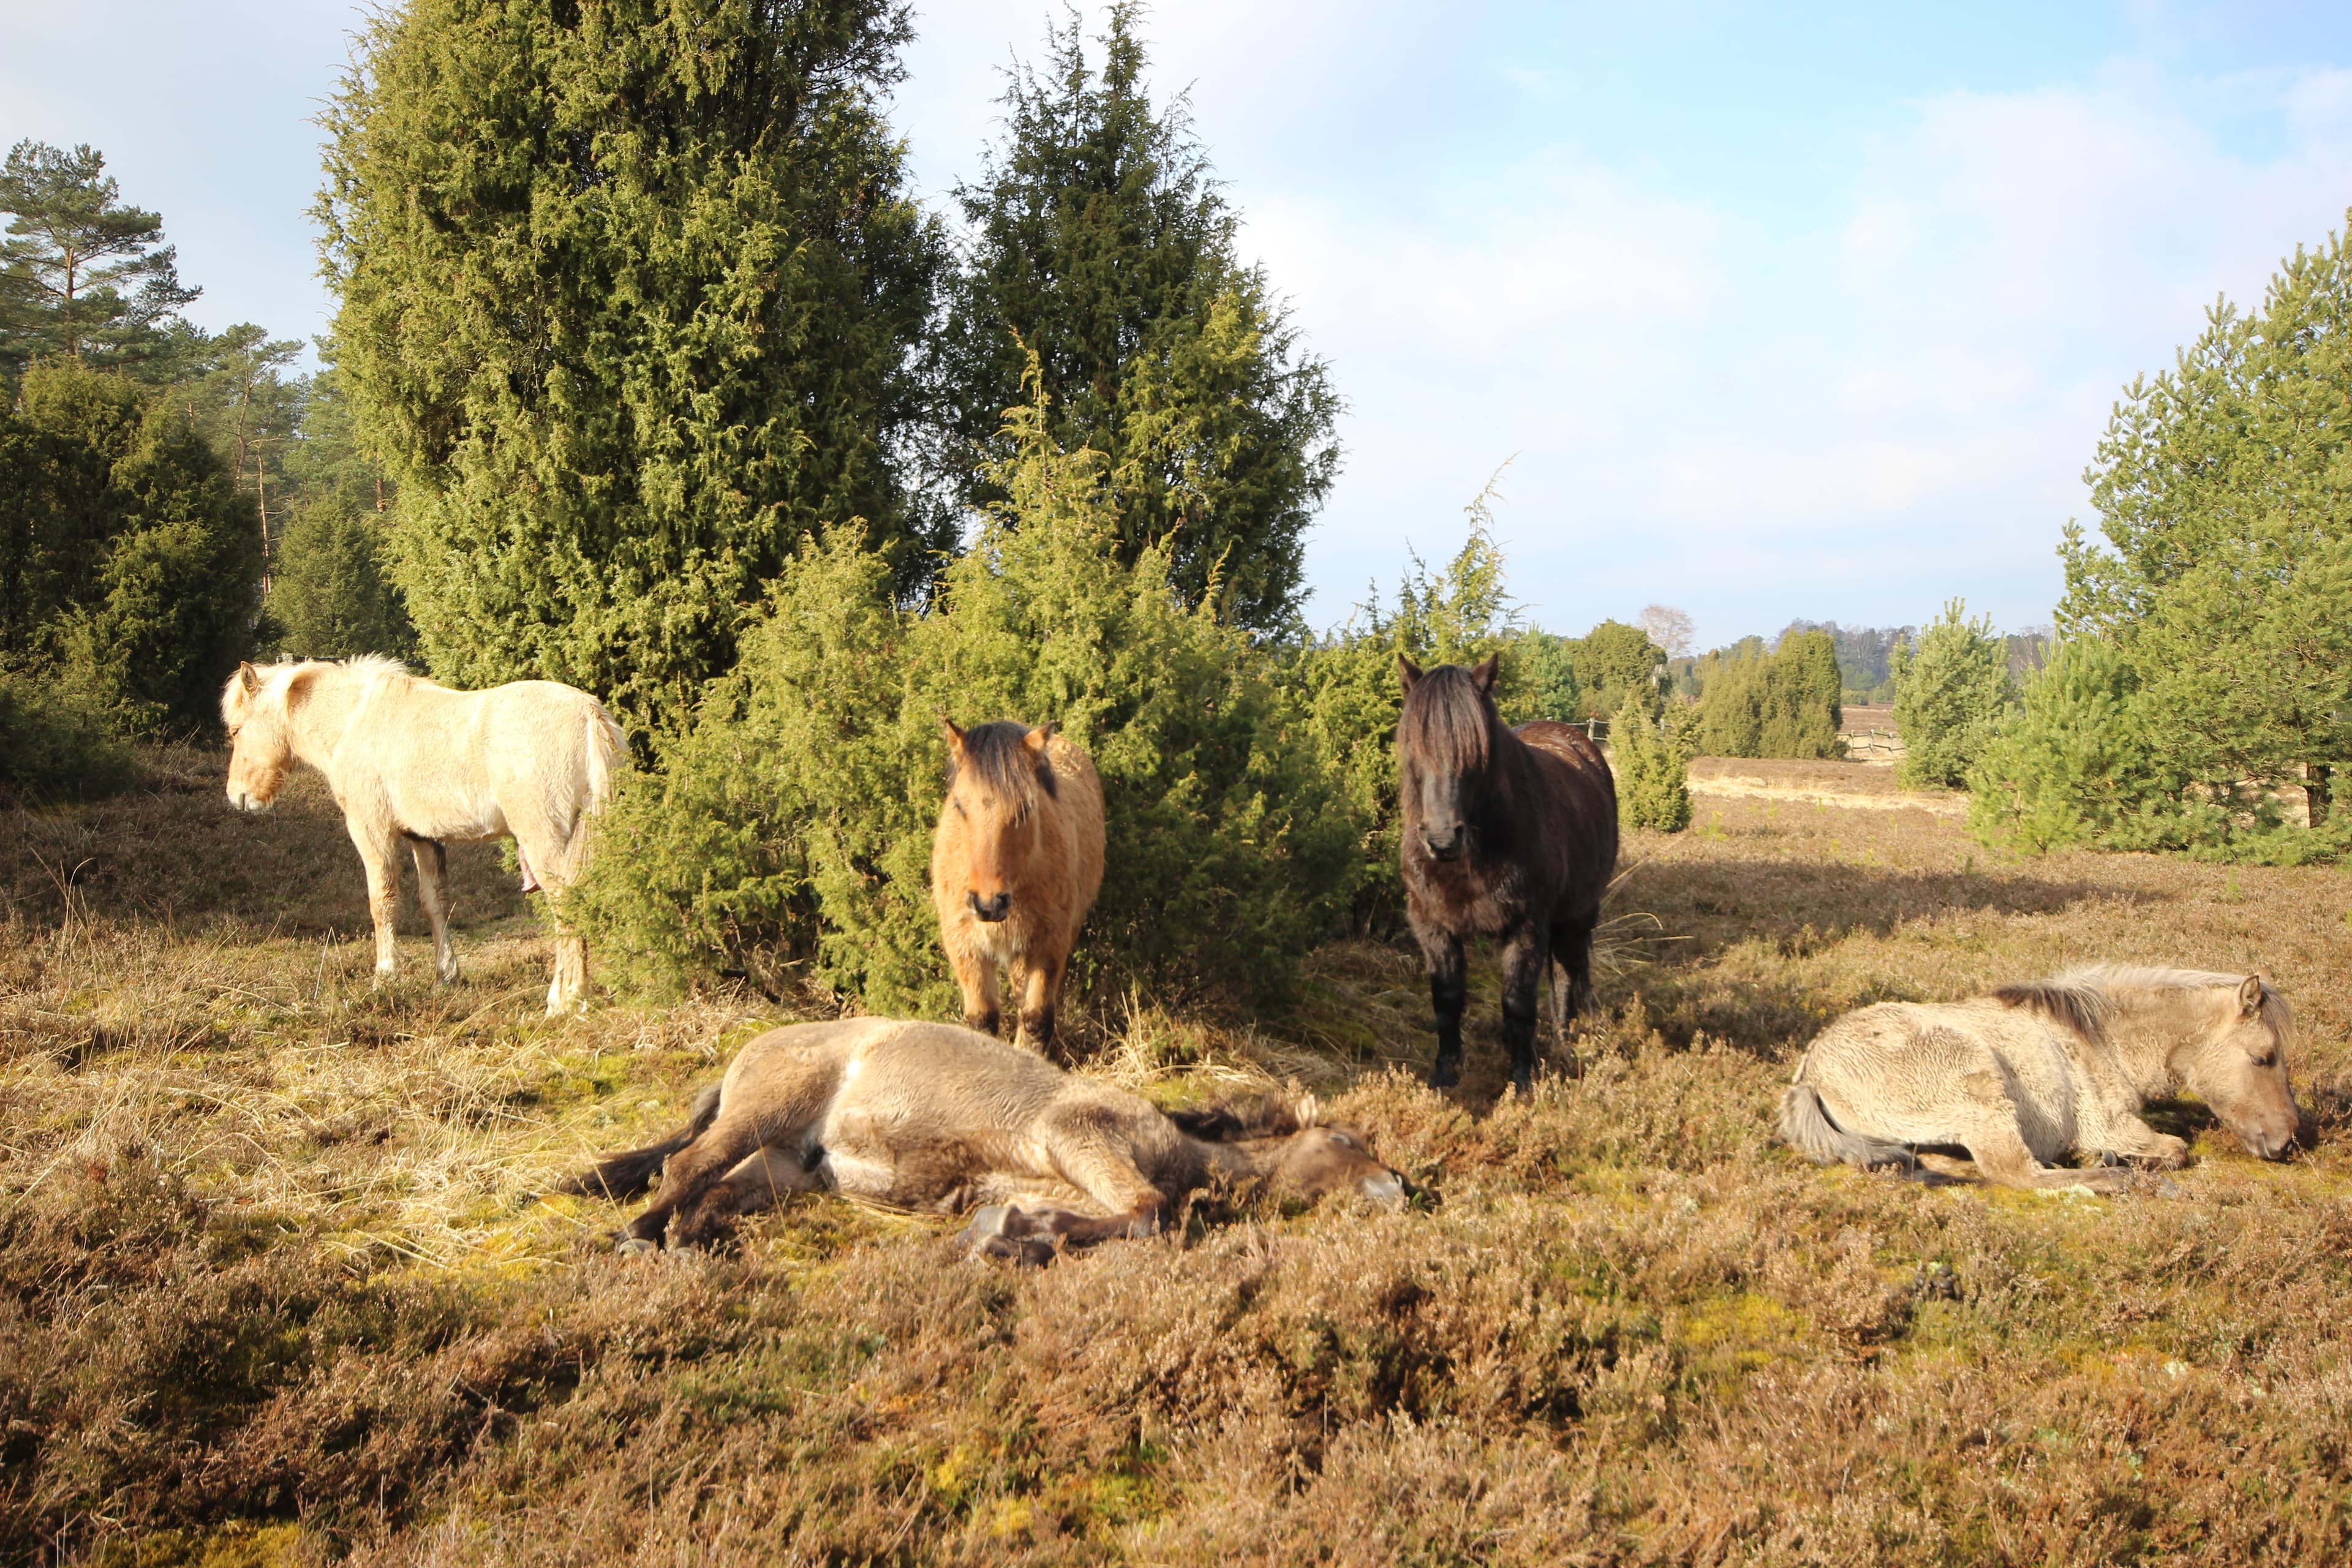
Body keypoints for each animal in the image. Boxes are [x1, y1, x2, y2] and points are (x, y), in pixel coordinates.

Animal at [219, 658, 625, 1011]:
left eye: (236, 730)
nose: (239, 796)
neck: (354, 722)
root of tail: (589, 714)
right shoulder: (424, 838)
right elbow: (435, 903)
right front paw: (445, 977)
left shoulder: (372, 830)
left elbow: (382, 901)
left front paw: (384, 978)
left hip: (545, 840)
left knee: (566, 904)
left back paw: (566, 998)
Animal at [559, 1020, 1401, 1260]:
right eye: (1347, 1136)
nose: (1403, 1186)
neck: (1180, 1143)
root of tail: (748, 1052)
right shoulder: (1076, 1136)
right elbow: (1149, 1209)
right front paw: (1021, 1236)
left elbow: (1127, 1213)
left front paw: (1014, 1231)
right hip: (769, 1107)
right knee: (687, 1161)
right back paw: (638, 1233)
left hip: (788, 1165)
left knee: (718, 1189)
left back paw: (686, 1240)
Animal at [926, 719, 1101, 1062]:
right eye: (958, 805)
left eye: (1026, 806)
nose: (989, 905)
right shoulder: (966, 947)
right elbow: (982, 1022)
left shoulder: (1048, 946)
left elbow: (1036, 1022)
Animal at [1392, 658, 1618, 1090]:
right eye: (1413, 745)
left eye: (1477, 751)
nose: (1443, 839)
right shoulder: (1431, 925)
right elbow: (1447, 1001)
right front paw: (1444, 1076)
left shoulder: (1526, 926)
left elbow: (1518, 1001)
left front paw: (1523, 1079)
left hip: (1578, 913)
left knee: (1567, 970)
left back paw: (1564, 1041)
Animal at [1778, 963, 2295, 1194]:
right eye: (2263, 1057)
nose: (2287, 1142)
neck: (2099, 1038)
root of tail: (1813, 1073)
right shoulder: (2113, 1125)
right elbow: (2176, 1150)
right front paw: (2129, 1162)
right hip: (1982, 1089)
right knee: (2018, 1175)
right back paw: (2114, 1175)